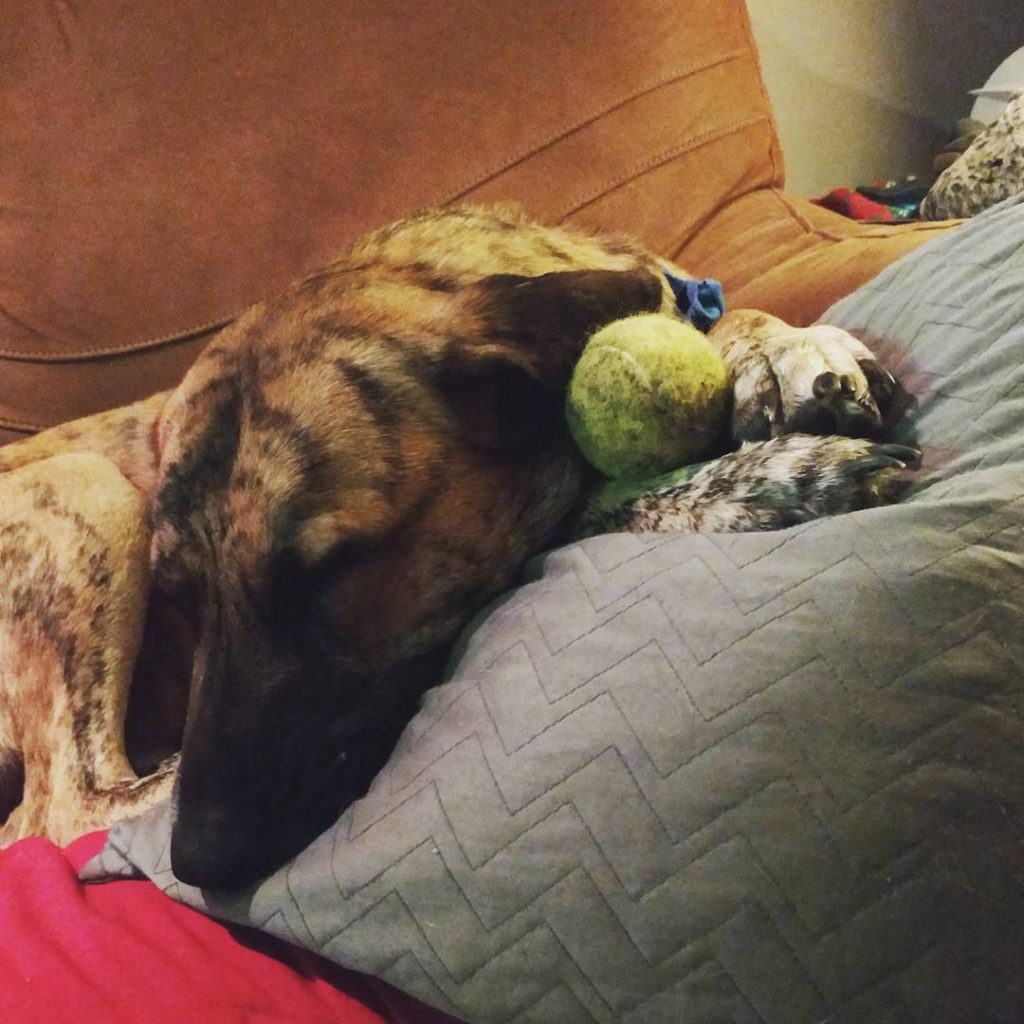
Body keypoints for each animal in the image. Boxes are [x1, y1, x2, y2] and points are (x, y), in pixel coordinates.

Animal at [0, 203, 913, 884]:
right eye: (182, 598)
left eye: (327, 575)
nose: (197, 863)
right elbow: (600, 502)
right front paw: (770, 480)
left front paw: (785, 349)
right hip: (88, 490)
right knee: (58, 810)